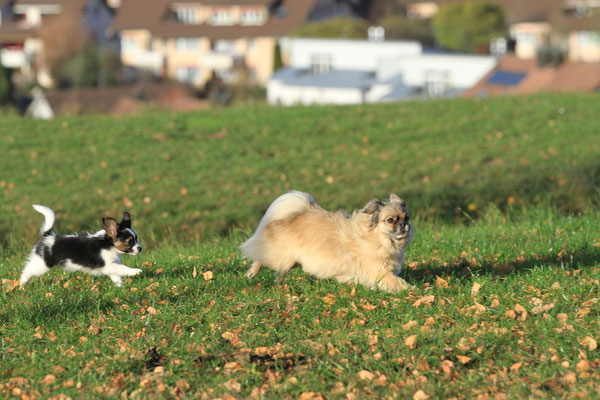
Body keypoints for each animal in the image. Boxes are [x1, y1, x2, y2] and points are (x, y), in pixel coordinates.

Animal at [239, 189, 412, 292]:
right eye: (390, 220)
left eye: (407, 217)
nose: (404, 224)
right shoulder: (380, 272)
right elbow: (398, 282)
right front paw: (412, 290)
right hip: (282, 259)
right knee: (259, 258)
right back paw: (251, 274)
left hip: (290, 263)